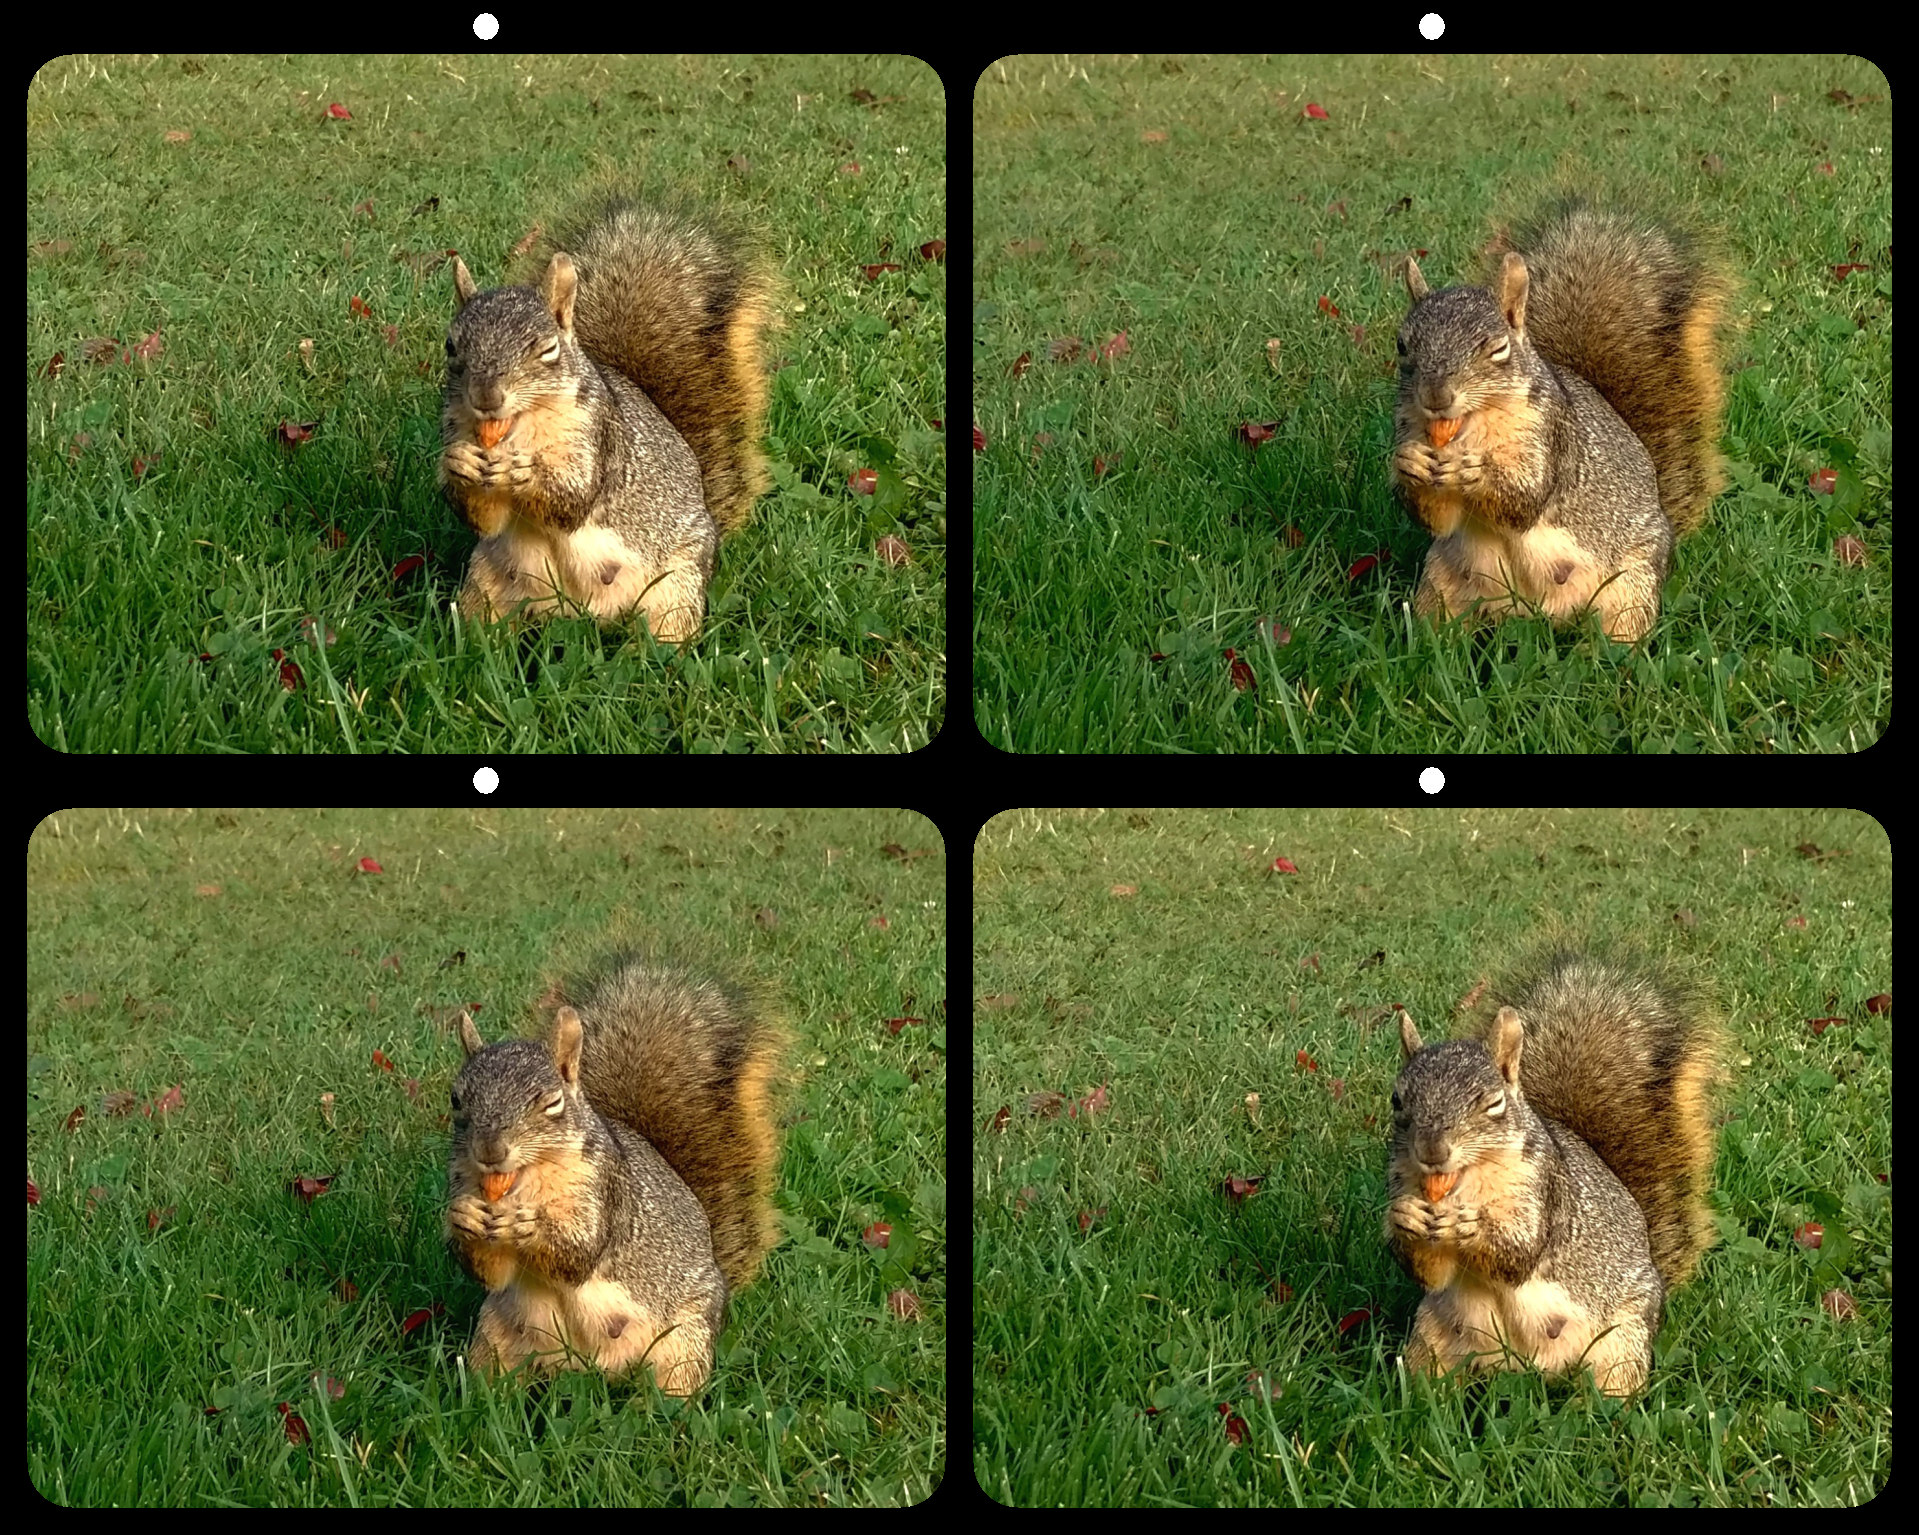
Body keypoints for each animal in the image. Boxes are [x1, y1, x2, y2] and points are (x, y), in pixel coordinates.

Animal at [439, 196, 778, 642]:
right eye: (450, 346)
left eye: (548, 349)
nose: (486, 398)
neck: (518, 428)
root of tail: (580, 613)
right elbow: (486, 520)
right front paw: (458, 463)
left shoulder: (598, 435)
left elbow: (574, 499)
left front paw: (525, 470)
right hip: (485, 584)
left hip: (676, 585)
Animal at [446, 954, 785, 1396]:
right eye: (455, 1099)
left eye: (552, 1102)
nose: (490, 1152)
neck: (524, 1183)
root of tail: (588, 1367)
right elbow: (492, 1273)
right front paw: (462, 1217)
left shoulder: (606, 1190)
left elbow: (579, 1253)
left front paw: (529, 1226)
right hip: (494, 1338)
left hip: (684, 1340)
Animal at [1384, 948, 1723, 1396]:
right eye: (1396, 1100)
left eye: (1494, 1103)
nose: (1432, 1152)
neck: (1463, 1183)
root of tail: (1526, 1368)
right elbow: (1432, 1273)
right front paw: (1403, 1217)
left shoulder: (1544, 1189)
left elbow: (1520, 1253)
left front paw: (1472, 1225)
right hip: (1431, 1338)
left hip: (1622, 1340)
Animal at [1391, 201, 1730, 643]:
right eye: (1401, 344)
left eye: (1498, 348)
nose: (1436, 398)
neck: (1469, 429)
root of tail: (1534, 613)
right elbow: (1438, 518)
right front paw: (1408, 463)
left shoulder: (1552, 436)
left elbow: (1525, 499)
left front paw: (1475, 471)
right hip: (1440, 584)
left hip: (1630, 587)